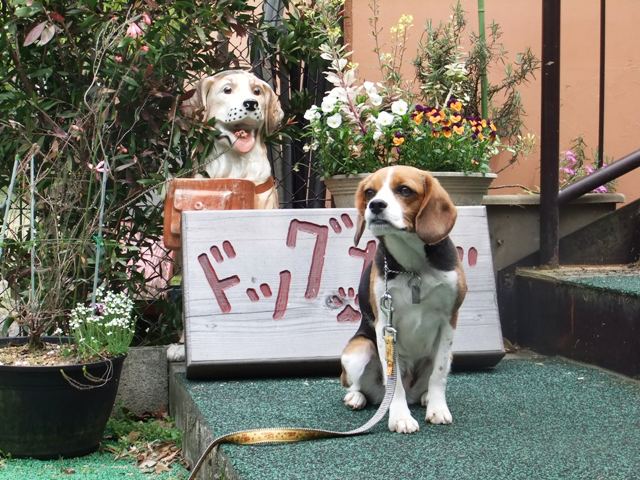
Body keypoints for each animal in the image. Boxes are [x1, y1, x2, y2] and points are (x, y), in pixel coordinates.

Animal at [340, 166, 464, 436]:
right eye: (369, 192)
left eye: (405, 190)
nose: (375, 205)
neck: (413, 267)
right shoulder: (385, 325)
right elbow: (392, 381)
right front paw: (399, 417)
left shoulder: (449, 320)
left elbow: (439, 374)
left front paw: (438, 409)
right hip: (358, 350)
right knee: (361, 386)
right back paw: (357, 397)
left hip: (449, 356)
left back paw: (426, 397)